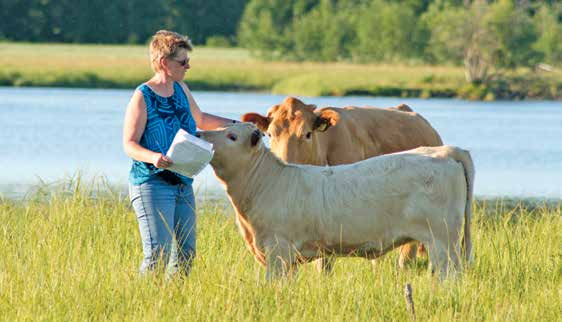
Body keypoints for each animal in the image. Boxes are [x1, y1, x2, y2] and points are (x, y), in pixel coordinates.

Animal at [198, 123, 472, 280]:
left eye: (232, 136)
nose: (199, 132)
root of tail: (444, 151)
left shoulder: (278, 251)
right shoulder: (289, 258)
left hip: (442, 241)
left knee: (451, 275)